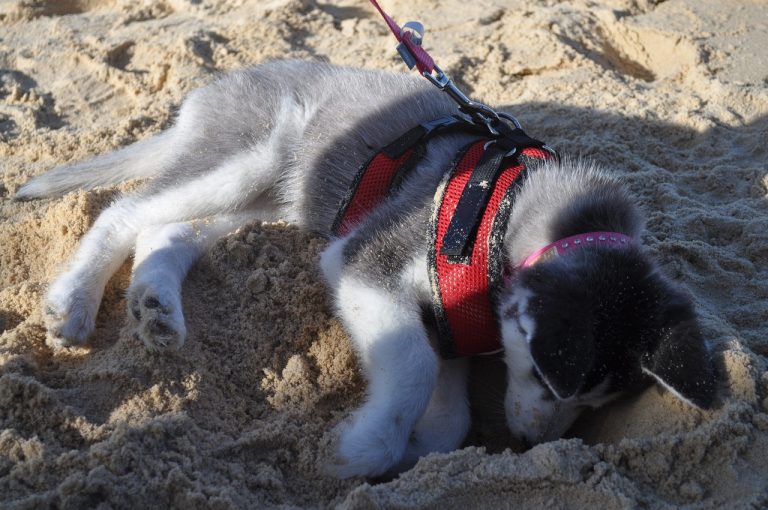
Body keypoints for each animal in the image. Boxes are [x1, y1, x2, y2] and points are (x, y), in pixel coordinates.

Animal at [19, 59, 728, 478]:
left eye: (597, 401)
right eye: (555, 386)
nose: (531, 447)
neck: (505, 217)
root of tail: (218, 85)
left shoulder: (451, 321)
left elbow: (446, 418)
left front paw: (410, 446)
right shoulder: (363, 260)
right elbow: (411, 368)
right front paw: (358, 450)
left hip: (273, 193)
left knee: (166, 228)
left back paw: (156, 308)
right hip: (245, 161)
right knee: (125, 212)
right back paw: (75, 302)